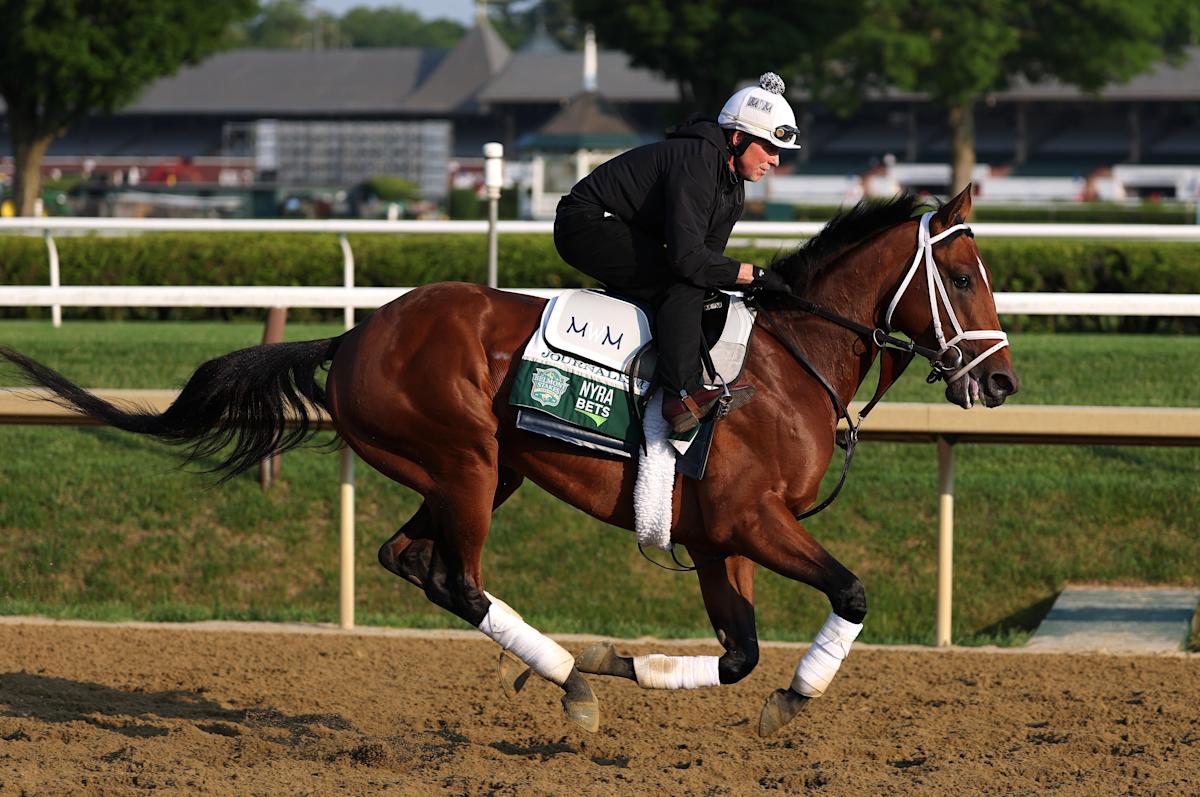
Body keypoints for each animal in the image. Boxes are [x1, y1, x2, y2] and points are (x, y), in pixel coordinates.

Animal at [0, 186, 1018, 737]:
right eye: (964, 275)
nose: (1002, 381)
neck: (782, 363)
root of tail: (356, 334)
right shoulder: (751, 522)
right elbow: (848, 593)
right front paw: (793, 701)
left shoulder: (718, 539)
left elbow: (737, 655)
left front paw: (625, 661)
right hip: (468, 462)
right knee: (455, 574)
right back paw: (566, 681)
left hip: (477, 473)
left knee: (410, 558)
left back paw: (564, 668)